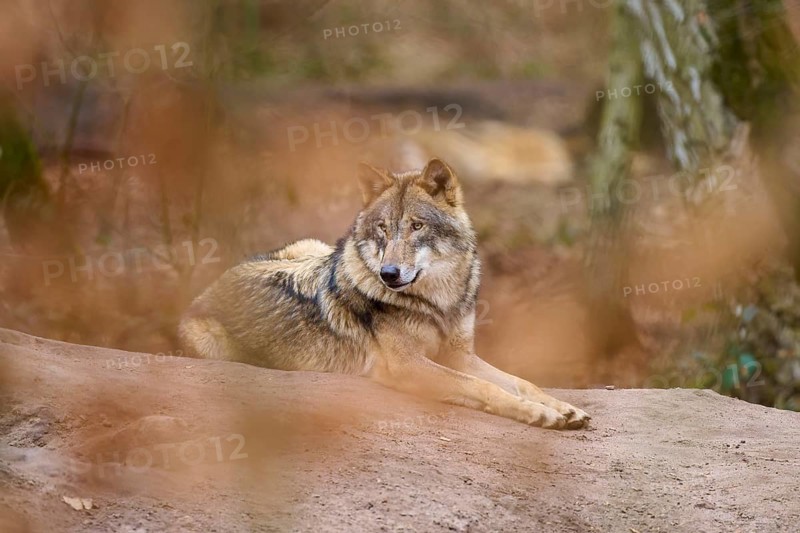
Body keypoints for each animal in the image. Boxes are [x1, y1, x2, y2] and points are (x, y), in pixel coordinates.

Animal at [179, 158, 590, 429]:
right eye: (383, 228)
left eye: (416, 226)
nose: (388, 273)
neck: (439, 303)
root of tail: (210, 287)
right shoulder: (408, 365)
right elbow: (486, 388)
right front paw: (541, 414)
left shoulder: (459, 355)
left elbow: (520, 381)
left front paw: (562, 407)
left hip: (311, 244)